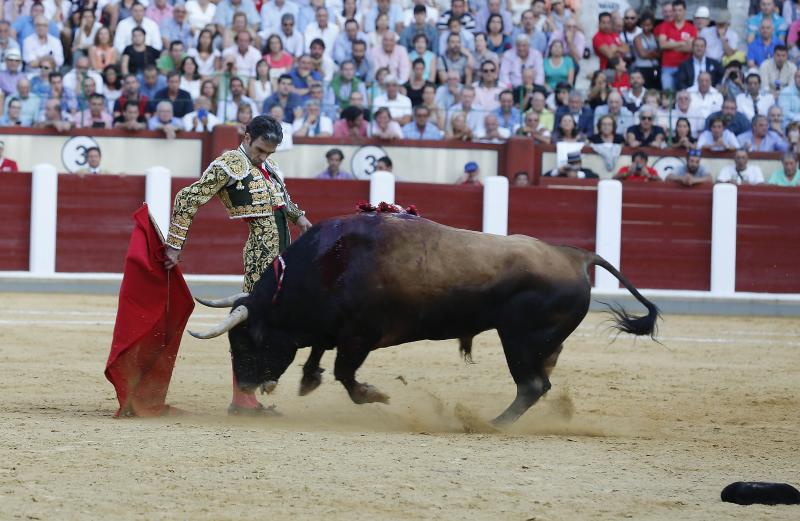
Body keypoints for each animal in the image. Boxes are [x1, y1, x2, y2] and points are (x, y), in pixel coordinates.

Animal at [191, 211, 660, 422]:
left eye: (250, 340)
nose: (246, 387)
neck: (328, 265)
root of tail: (576, 256)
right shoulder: (334, 331)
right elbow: (318, 355)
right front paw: (309, 381)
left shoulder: (360, 337)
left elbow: (345, 373)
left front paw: (375, 395)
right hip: (543, 343)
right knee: (542, 382)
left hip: (518, 339)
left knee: (532, 385)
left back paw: (490, 424)